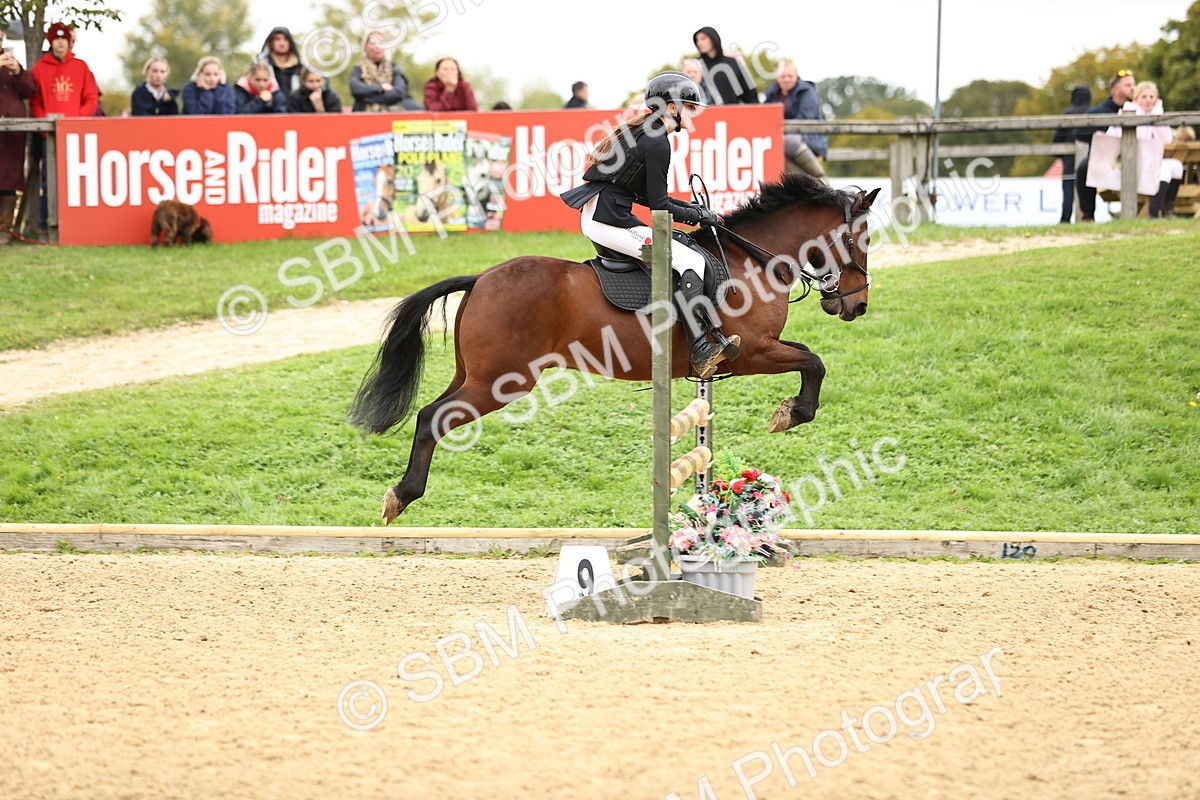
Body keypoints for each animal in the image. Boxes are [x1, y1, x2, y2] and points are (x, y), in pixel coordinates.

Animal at [349, 172, 880, 523]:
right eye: (864, 238)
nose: (857, 305)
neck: (753, 260)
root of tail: (481, 278)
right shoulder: (752, 352)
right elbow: (814, 361)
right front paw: (792, 413)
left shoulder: (754, 352)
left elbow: (809, 357)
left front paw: (790, 411)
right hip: (501, 383)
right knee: (432, 419)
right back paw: (402, 495)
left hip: (475, 376)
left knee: (430, 414)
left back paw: (401, 494)